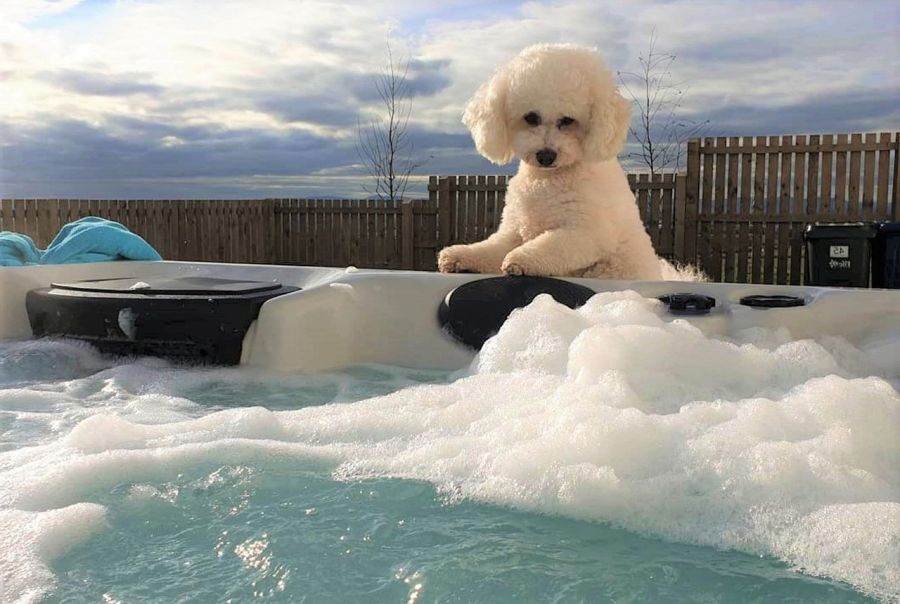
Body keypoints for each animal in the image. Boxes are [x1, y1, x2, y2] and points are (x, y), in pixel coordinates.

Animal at [440, 44, 700, 280]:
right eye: (531, 117)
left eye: (567, 120)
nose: (546, 155)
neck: (548, 179)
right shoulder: (515, 230)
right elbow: (492, 248)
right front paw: (459, 256)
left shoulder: (585, 233)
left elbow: (551, 246)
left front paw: (521, 259)